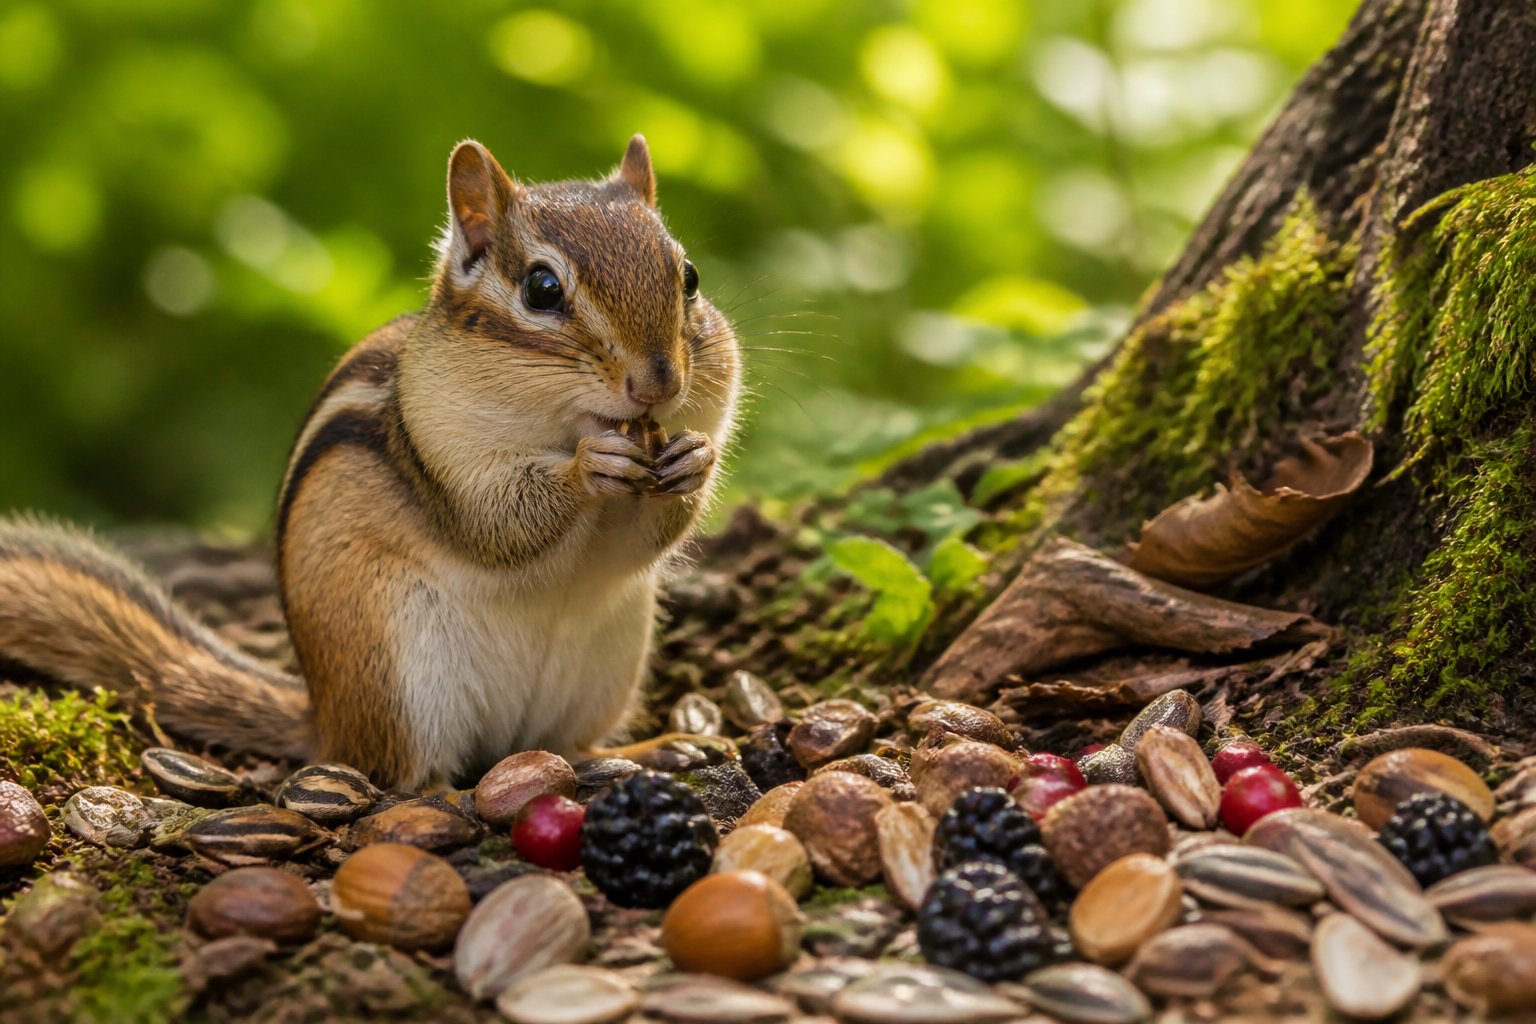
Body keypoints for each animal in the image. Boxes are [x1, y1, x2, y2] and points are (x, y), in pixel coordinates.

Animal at [0, 136, 741, 791]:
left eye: (690, 277)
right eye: (542, 288)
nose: (658, 384)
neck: (561, 421)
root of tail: (323, 717)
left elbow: (642, 538)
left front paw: (695, 460)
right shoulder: (439, 448)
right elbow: (498, 524)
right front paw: (590, 465)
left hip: (610, 656)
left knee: (566, 744)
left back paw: (655, 749)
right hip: (399, 672)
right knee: (407, 777)